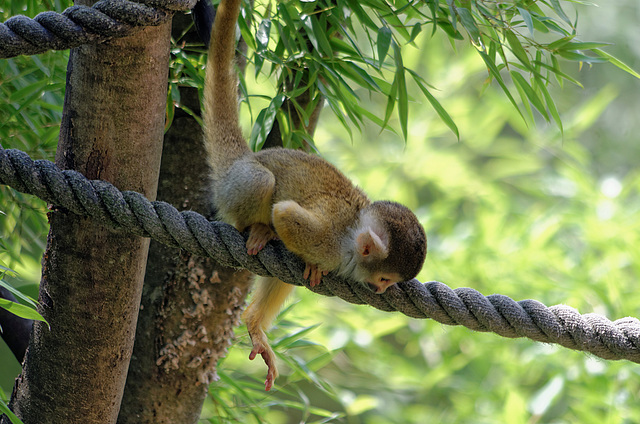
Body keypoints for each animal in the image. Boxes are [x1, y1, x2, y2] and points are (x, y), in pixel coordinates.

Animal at [202, 0, 428, 392]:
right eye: (385, 279)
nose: (382, 291)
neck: (351, 240)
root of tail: (242, 158)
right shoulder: (328, 242)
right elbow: (285, 213)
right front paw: (281, 234)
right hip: (237, 183)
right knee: (262, 182)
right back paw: (259, 229)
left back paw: (254, 322)